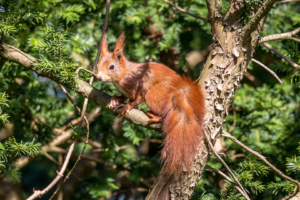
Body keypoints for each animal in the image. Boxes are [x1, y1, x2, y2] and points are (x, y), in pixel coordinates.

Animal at [97, 33, 205, 176]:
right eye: (98, 65)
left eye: (111, 67)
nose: (99, 77)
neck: (122, 76)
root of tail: (179, 88)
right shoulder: (124, 91)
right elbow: (123, 97)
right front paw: (114, 99)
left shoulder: (139, 86)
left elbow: (137, 99)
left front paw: (127, 106)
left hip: (154, 95)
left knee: (164, 112)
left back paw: (156, 117)